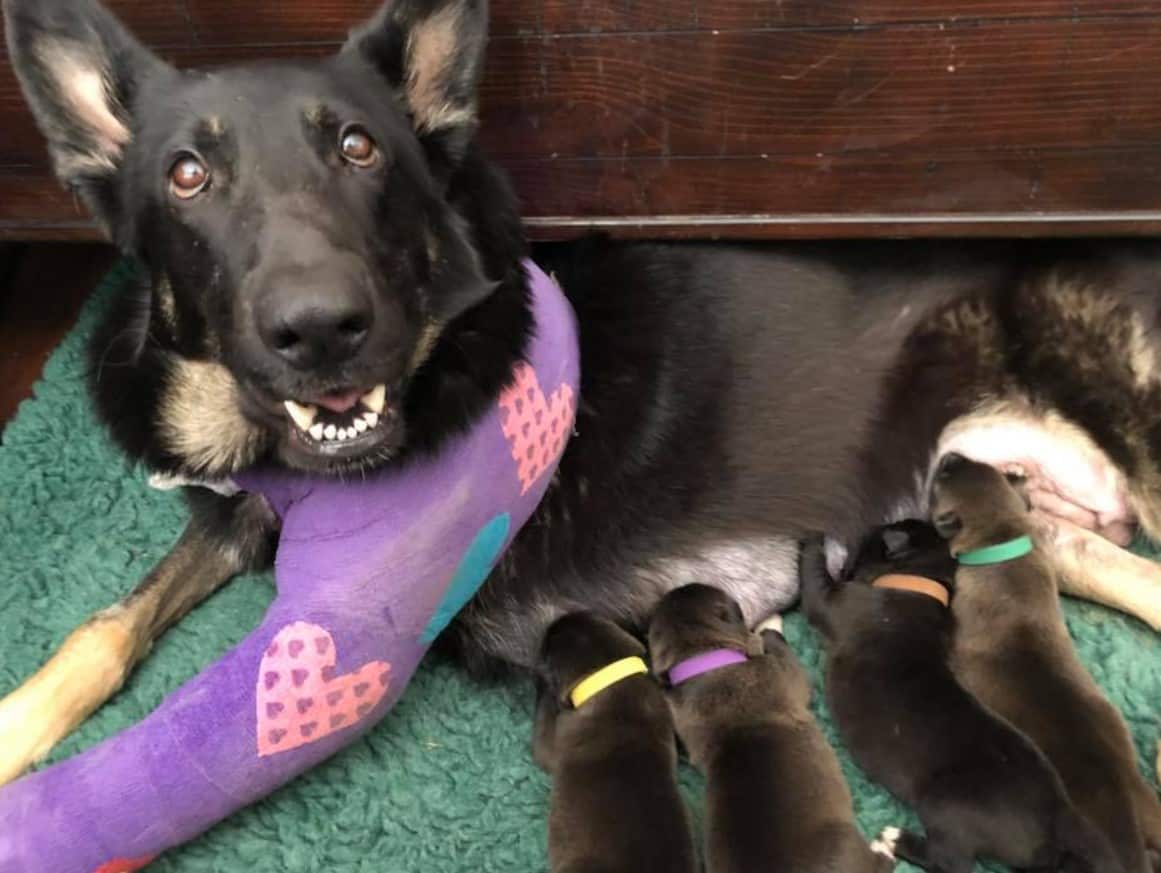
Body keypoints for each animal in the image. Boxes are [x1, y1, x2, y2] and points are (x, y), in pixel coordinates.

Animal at [2, 0, 1161, 803]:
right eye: (187, 175)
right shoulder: (237, 518)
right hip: (1035, 521)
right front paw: (18, 728)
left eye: (357, 148)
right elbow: (104, 626)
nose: (321, 327)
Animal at [650, 582, 891, 873]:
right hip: (847, 844)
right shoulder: (785, 672)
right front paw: (770, 622)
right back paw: (885, 845)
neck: (703, 659)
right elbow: (778, 646)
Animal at [803, 522, 1119, 868]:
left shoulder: (835, 600)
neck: (919, 582)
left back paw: (895, 840)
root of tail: (1059, 813)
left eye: (869, 539)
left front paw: (810, 540)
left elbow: (814, 580)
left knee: (948, 860)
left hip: (945, 807)